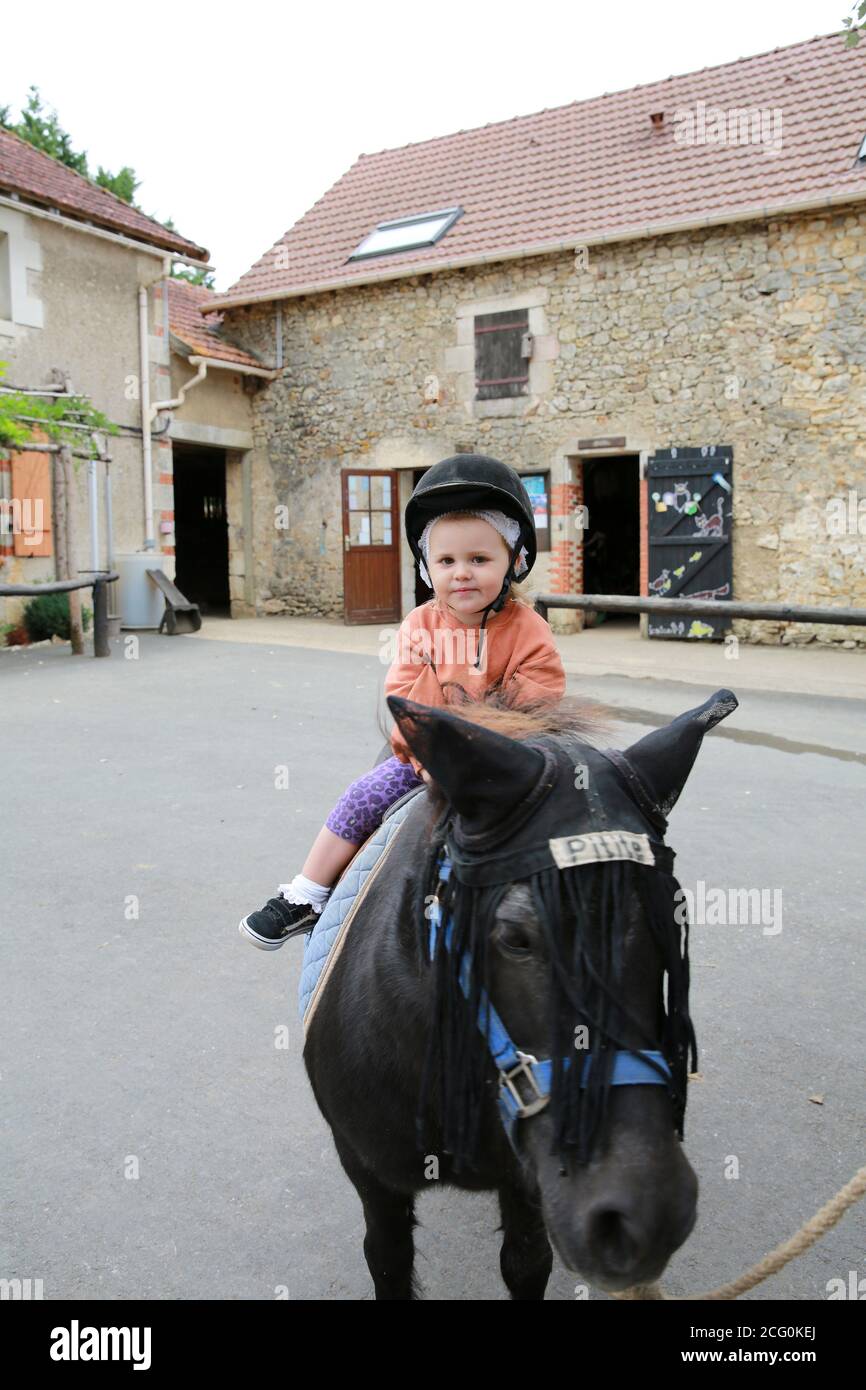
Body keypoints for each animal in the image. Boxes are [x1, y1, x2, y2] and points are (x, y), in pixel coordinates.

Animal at [304, 689, 739, 1295]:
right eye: (515, 936)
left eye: (672, 919)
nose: (644, 1217)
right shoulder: (370, 1173)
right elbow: (387, 1259)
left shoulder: (530, 1191)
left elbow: (527, 1262)